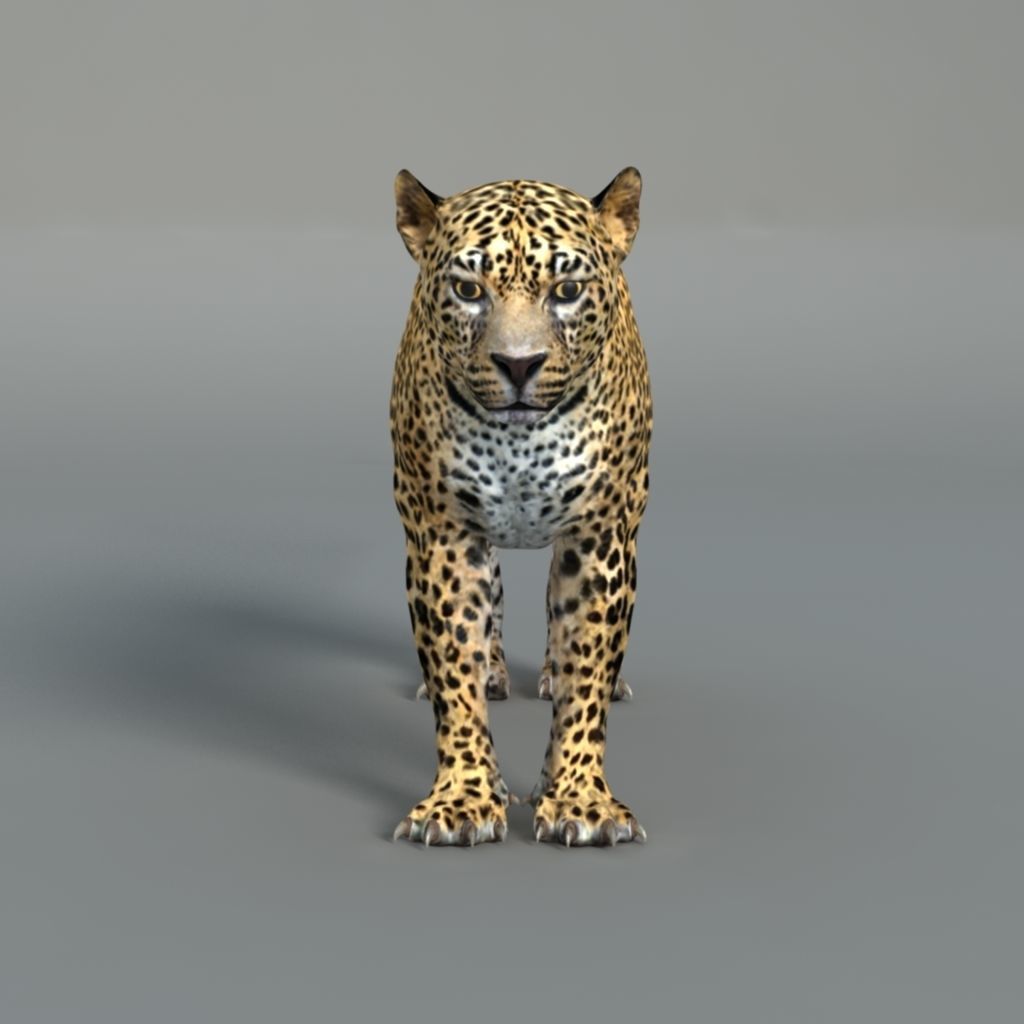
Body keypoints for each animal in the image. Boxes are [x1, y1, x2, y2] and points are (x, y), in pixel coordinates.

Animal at [389, 167, 652, 847]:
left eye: (566, 290)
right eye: (467, 289)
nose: (518, 365)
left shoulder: (599, 538)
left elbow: (587, 670)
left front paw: (579, 799)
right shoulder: (444, 534)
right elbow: (453, 670)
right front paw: (463, 799)